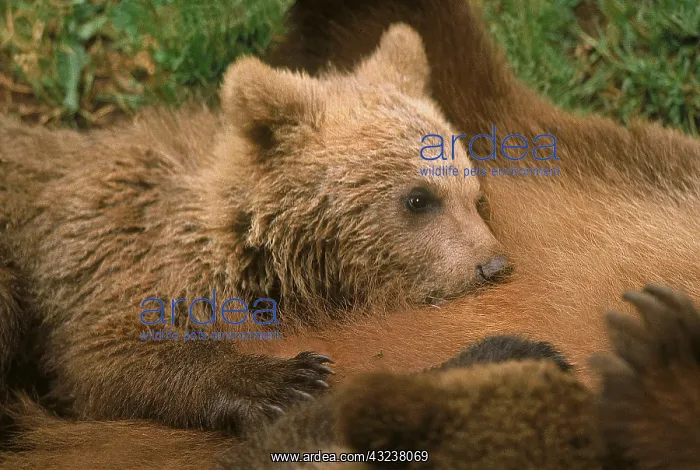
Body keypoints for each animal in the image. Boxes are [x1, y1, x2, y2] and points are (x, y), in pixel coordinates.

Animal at [0, 23, 509, 435]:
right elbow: (100, 356)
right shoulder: (116, 257)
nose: (494, 265)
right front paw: (288, 379)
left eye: (474, 194)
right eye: (418, 198)